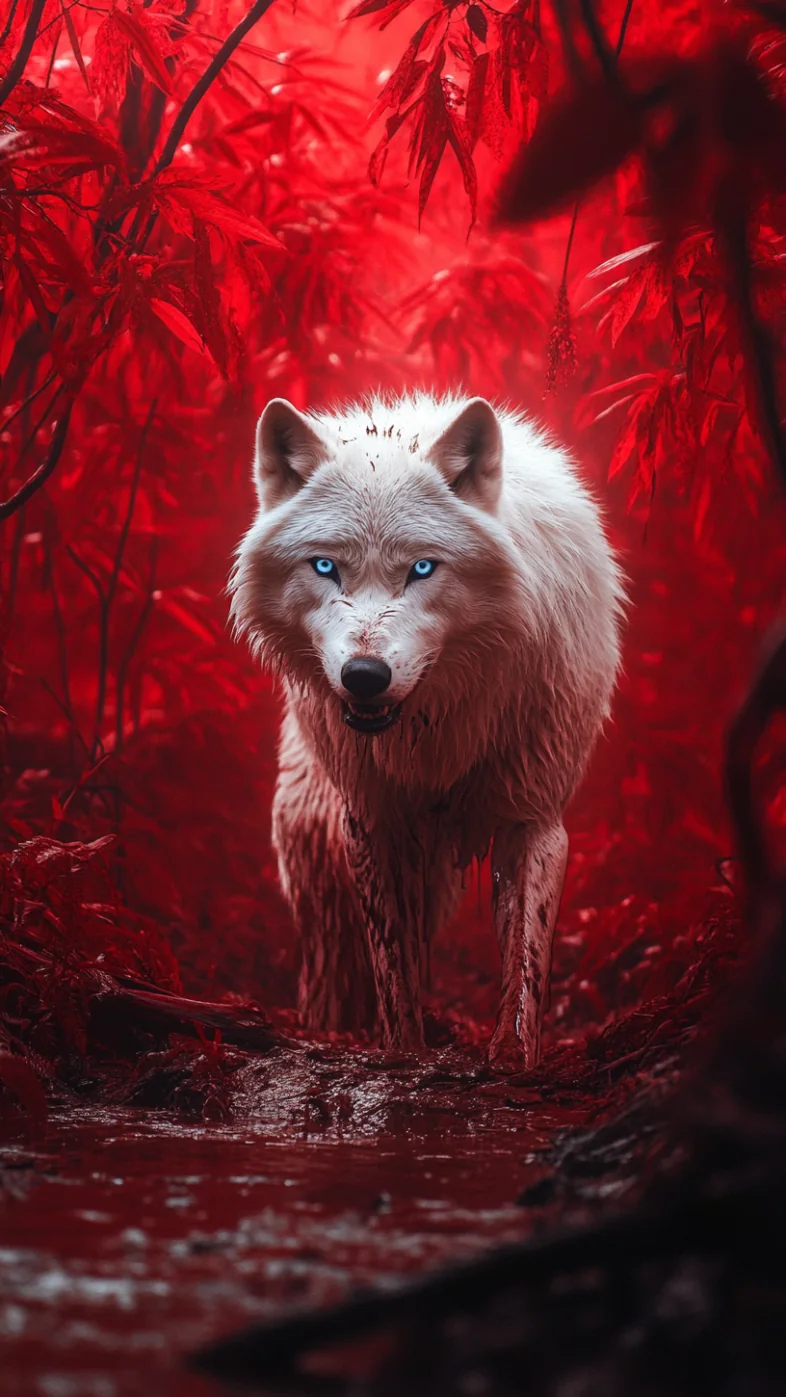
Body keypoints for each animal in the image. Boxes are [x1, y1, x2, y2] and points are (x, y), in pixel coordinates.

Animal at [231, 393, 625, 1068]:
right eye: (325, 566)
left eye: (422, 568)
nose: (364, 676)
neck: (435, 724)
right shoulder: (373, 817)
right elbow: (392, 969)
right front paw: (402, 1055)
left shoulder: (532, 815)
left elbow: (526, 962)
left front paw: (512, 1060)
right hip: (315, 843)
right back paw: (331, 1028)